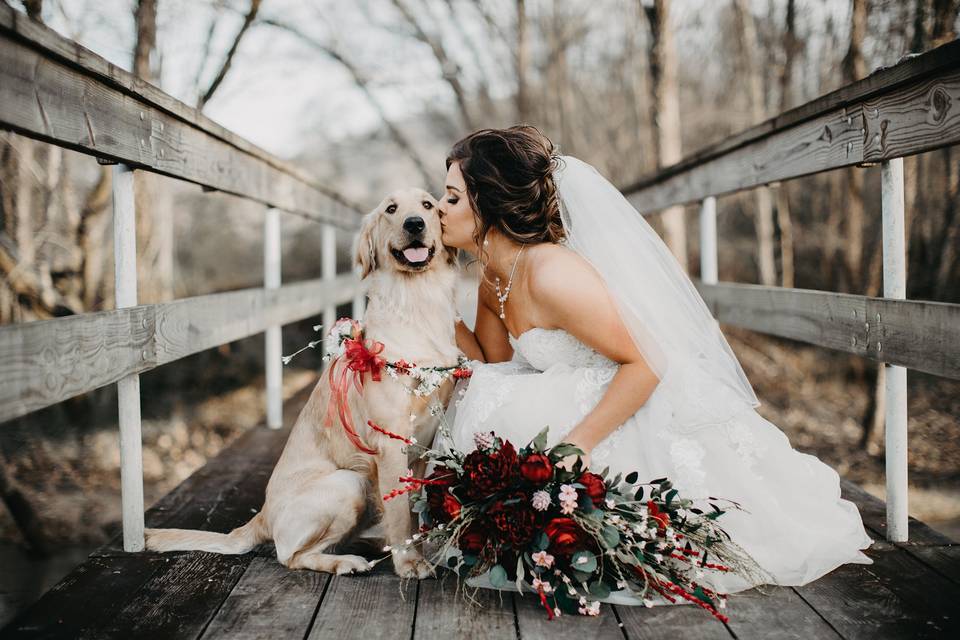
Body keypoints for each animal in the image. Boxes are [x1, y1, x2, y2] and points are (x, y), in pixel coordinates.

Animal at [144, 189, 464, 580]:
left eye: (428, 206)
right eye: (391, 209)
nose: (414, 224)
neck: (416, 302)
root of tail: (262, 517)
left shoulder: (420, 444)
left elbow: (413, 510)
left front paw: (414, 552)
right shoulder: (391, 444)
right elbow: (402, 515)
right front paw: (409, 563)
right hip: (349, 483)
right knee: (291, 556)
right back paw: (346, 561)